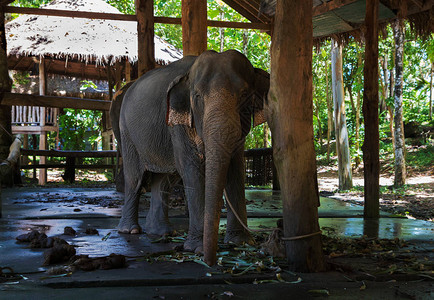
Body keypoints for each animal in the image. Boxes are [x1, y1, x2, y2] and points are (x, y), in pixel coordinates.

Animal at [117, 49, 270, 264]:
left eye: (245, 95)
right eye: (197, 96)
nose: (210, 261)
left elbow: (236, 169)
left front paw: (241, 243)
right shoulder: (179, 121)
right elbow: (192, 167)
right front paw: (196, 249)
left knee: (164, 180)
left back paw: (161, 233)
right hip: (127, 132)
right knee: (135, 179)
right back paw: (130, 230)